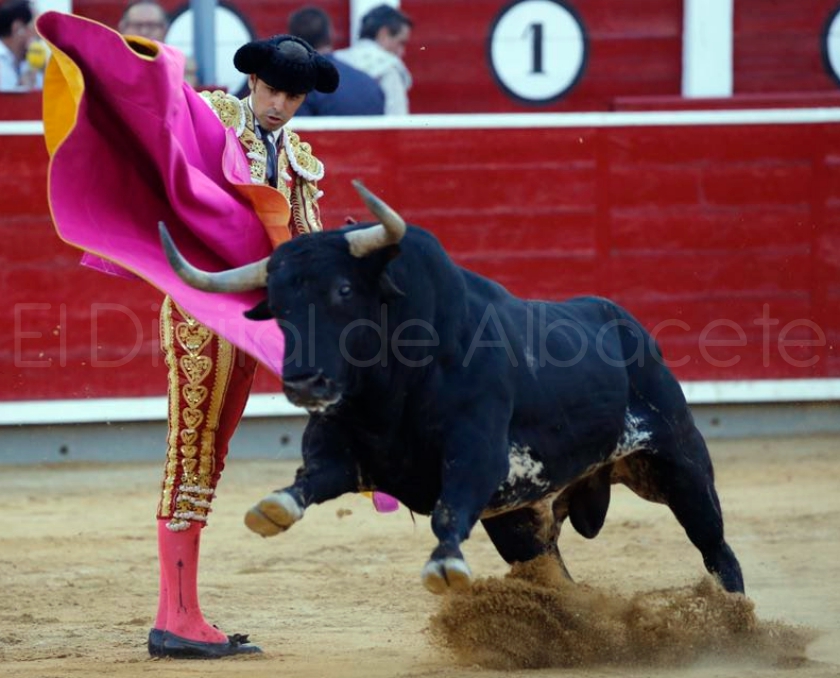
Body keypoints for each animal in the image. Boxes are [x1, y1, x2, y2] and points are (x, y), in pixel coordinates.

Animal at [159, 181, 745, 596]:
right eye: (277, 308)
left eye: (344, 290)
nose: (305, 382)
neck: (390, 390)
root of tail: (630, 327)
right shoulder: (345, 450)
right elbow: (312, 478)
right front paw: (274, 507)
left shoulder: (479, 450)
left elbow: (448, 509)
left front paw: (444, 566)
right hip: (521, 521)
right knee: (555, 575)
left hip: (680, 463)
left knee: (716, 547)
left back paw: (738, 624)